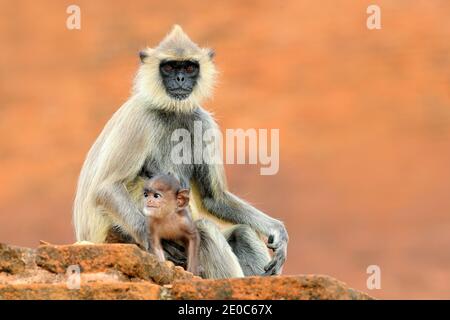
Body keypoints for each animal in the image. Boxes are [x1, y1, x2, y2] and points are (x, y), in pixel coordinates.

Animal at [72, 25, 286, 278]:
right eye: (170, 67)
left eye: (189, 67)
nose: (180, 78)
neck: (171, 110)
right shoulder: (140, 115)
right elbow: (107, 187)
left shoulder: (202, 120)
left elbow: (213, 198)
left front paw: (276, 229)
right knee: (203, 228)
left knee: (240, 232)